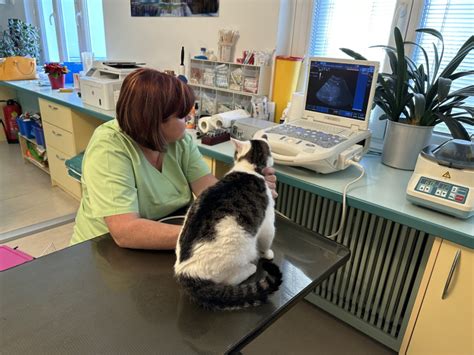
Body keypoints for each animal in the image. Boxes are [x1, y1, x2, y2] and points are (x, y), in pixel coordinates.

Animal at [176, 138, 284, 310]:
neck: (249, 167)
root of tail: (186, 273)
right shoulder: (267, 222)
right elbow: (266, 240)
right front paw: (267, 253)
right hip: (240, 250)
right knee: (230, 279)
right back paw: (250, 268)